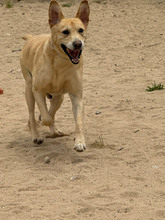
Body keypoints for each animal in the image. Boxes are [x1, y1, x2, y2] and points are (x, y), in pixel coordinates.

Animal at [20, 0, 90, 151]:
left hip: (59, 98)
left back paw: (55, 131)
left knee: (51, 110)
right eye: (65, 32)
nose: (78, 43)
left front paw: (79, 142)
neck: (60, 62)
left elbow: (78, 122)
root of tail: (31, 38)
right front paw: (42, 123)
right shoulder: (38, 90)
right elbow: (46, 117)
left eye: (81, 30)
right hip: (29, 91)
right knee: (32, 114)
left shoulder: (76, 95)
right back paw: (36, 135)